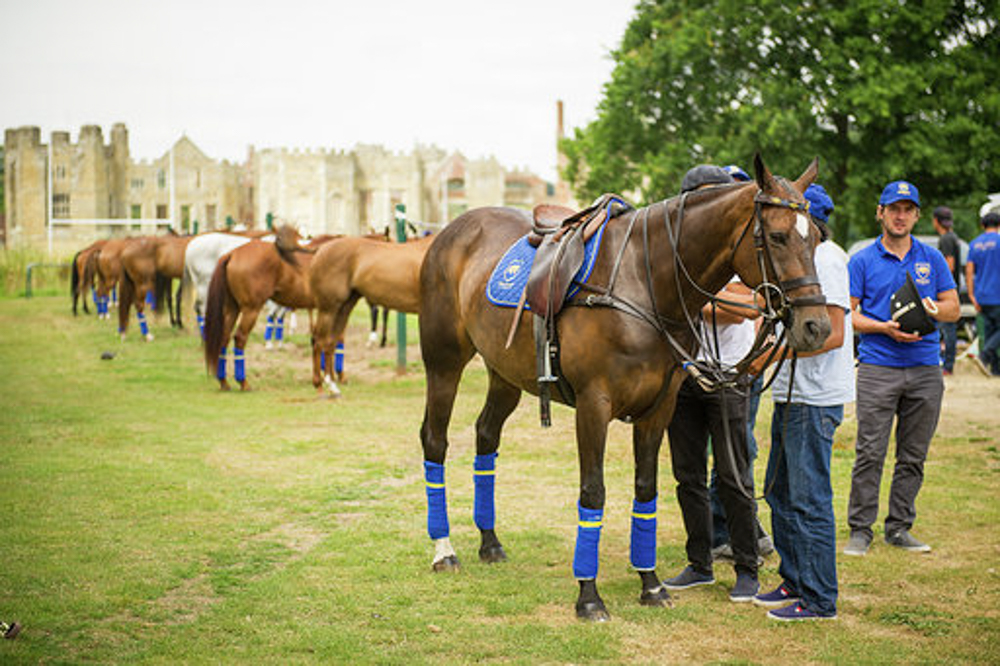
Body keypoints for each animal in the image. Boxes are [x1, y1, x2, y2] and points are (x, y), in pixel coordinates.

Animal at [203, 226, 336, 390]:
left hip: (232, 309)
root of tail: (232, 254)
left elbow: (321, 340)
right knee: (240, 338)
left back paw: (224, 381)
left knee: (224, 337)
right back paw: (243, 382)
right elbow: (329, 342)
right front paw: (329, 378)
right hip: (251, 309)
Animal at [304, 233, 430, 394]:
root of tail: (321, 249)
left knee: (330, 342)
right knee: (319, 342)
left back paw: (332, 385)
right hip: (328, 309)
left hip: (343, 308)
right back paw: (320, 385)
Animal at [414, 154, 828, 616]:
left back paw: (489, 542)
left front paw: (651, 585)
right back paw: (444, 548)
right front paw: (589, 597)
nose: (816, 326)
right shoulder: (594, 405)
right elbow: (593, 492)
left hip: (505, 373)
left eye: (816, 239)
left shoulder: (659, 407)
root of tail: (450, 230)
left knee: (486, 435)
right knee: (434, 440)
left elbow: (645, 489)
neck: (644, 284)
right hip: (443, 362)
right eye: (777, 236)